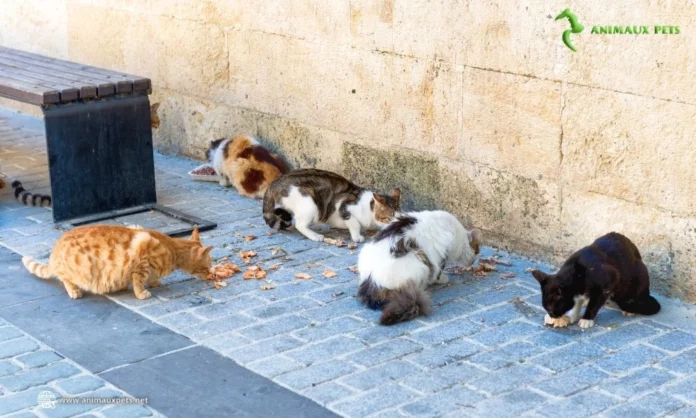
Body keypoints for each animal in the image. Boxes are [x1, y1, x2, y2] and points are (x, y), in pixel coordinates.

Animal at [21, 225, 212, 300]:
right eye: (207, 266)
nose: (211, 275)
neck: (172, 248)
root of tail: (55, 249)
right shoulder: (141, 264)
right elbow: (138, 282)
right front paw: (142, 293)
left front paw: (154, 282)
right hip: (79, 269)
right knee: (65, 278)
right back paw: (74, 291)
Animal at [262, 168, 402, 243]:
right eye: (389, 217)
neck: (368, 208)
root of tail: (275, 182)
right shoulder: (344, 206)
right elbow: (355, 224)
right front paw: (357, 236)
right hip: (309, 203)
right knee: (299, 224)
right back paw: (315, 236)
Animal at [532, 230, 660, 328]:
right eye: (546, 308)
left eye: (550, 309)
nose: (552, 316)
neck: (577, 274)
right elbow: (577, 301)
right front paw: (573, 315)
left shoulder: (608, 282)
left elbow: (595, 303)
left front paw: (586, 319)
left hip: (639, 275)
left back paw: (629, 308)